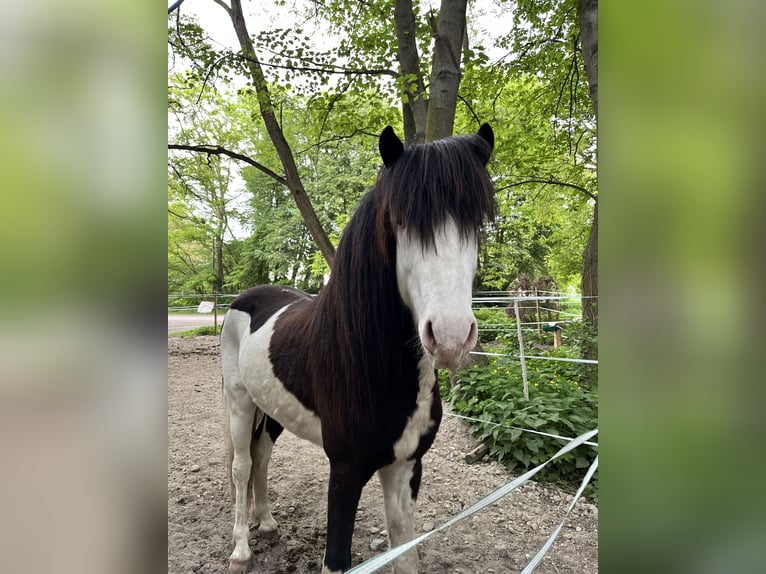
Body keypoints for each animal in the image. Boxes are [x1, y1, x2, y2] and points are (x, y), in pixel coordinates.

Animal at [222, 125, 498, 574]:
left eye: (477, 222)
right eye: (400, 221)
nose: (451, 338)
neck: (375, 367)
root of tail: (247, 298)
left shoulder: (405, 468)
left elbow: (407, 555)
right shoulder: (345, 472)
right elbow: (336, 560)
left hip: (272, 408)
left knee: (261, 456)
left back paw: (267, 523)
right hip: (240, 402)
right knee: (242, 465)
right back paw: (241, 549)